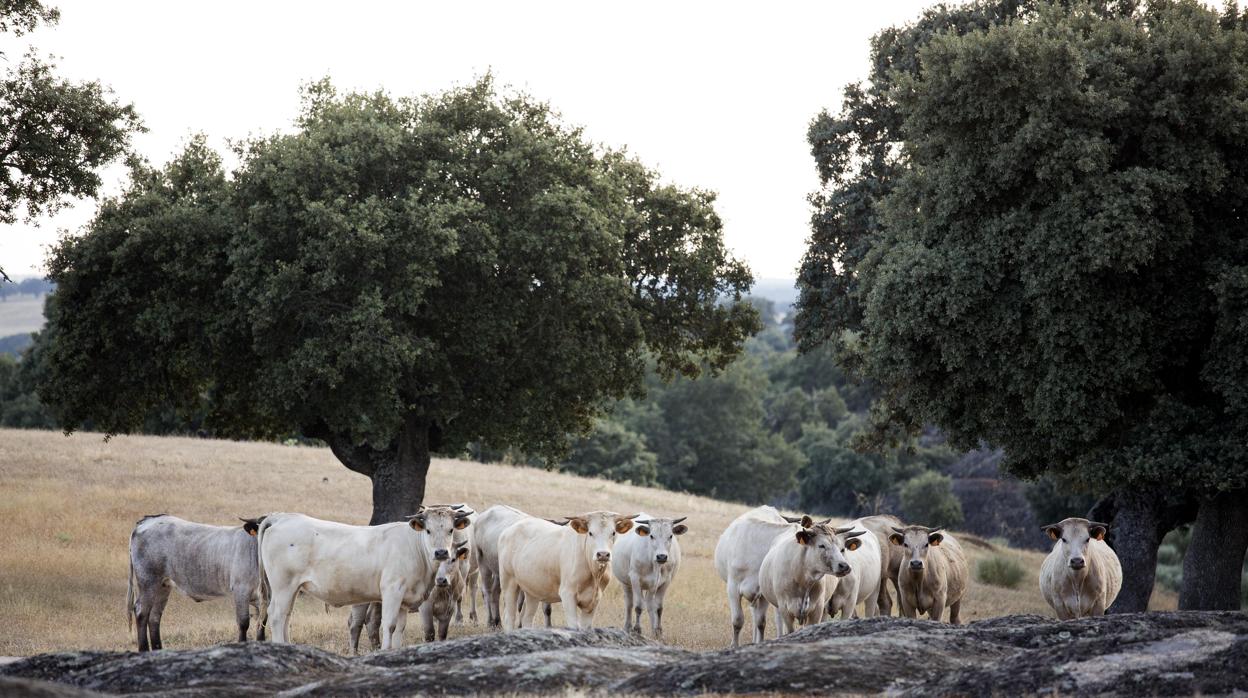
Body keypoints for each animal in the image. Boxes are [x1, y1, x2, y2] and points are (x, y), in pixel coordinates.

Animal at [125, 514, 267, 654]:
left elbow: (262, 622)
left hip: (162, 586)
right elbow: (243, 623)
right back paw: (144, 650)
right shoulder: (241, 591)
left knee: (154, 617)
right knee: (141, 612)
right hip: (147, 581)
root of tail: (149, 520)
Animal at [257, 506, 469, 649]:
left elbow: (400, 628)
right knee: (276, 615)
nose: (441, 552)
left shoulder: (404, 600)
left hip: (292, 588)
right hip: (283, 585)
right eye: (428, 530)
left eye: (450, 529)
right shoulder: (392, 591)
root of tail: (281, 517)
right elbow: (389, 625)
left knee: (286, 616)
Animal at [496, 511, 638, 631]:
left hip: (532, 590)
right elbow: (574, 626)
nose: (603, 554)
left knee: (527, 619)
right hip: (509, 582)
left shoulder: (595, 599)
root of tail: (509, 530)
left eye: (613, 533)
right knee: (509, 617)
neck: (594, 574)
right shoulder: (567, 593)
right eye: (590, 533)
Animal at [718, 504, 813, 649]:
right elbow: (738, 620)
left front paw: (760, 642)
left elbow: (761, 622)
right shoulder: (732, 588)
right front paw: (734, 645)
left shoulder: (763, 592)